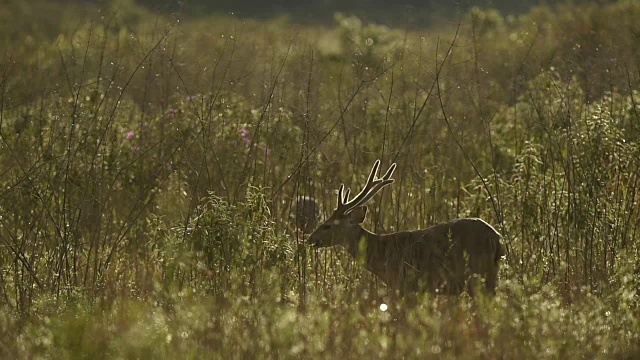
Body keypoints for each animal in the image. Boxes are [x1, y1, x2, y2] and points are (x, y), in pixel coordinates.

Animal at [308, 160, 508, 296]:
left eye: (327, 226)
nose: (310, 239)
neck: (382, 251)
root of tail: (497, 238)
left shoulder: (407, 285)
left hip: (478, 274)